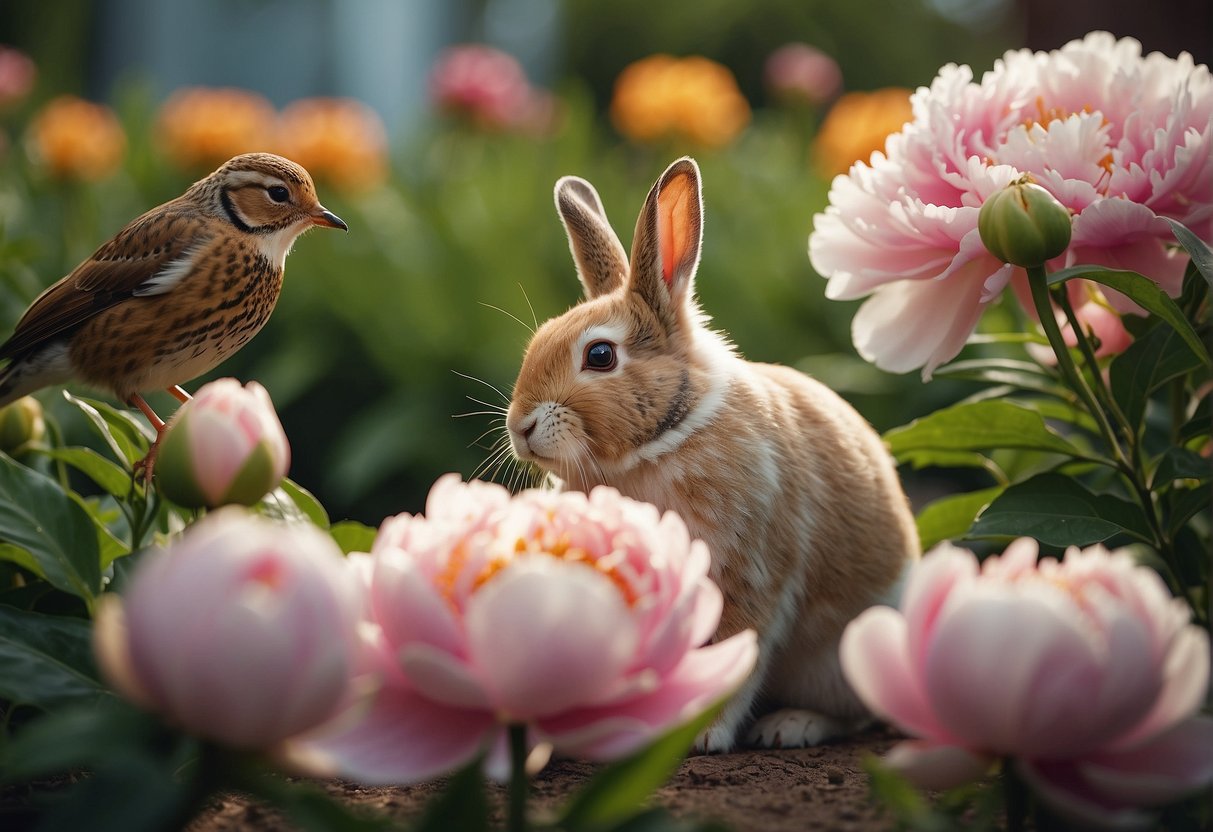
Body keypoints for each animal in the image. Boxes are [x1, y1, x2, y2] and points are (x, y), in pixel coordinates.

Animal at [504, 157, 917, 756]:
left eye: (600, 355)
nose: (520, 426)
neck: (655, 448)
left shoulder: (750, 577)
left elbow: (736, 657)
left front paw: (700, 734)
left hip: (842, 658)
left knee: (856, 714)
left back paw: (791, 726)